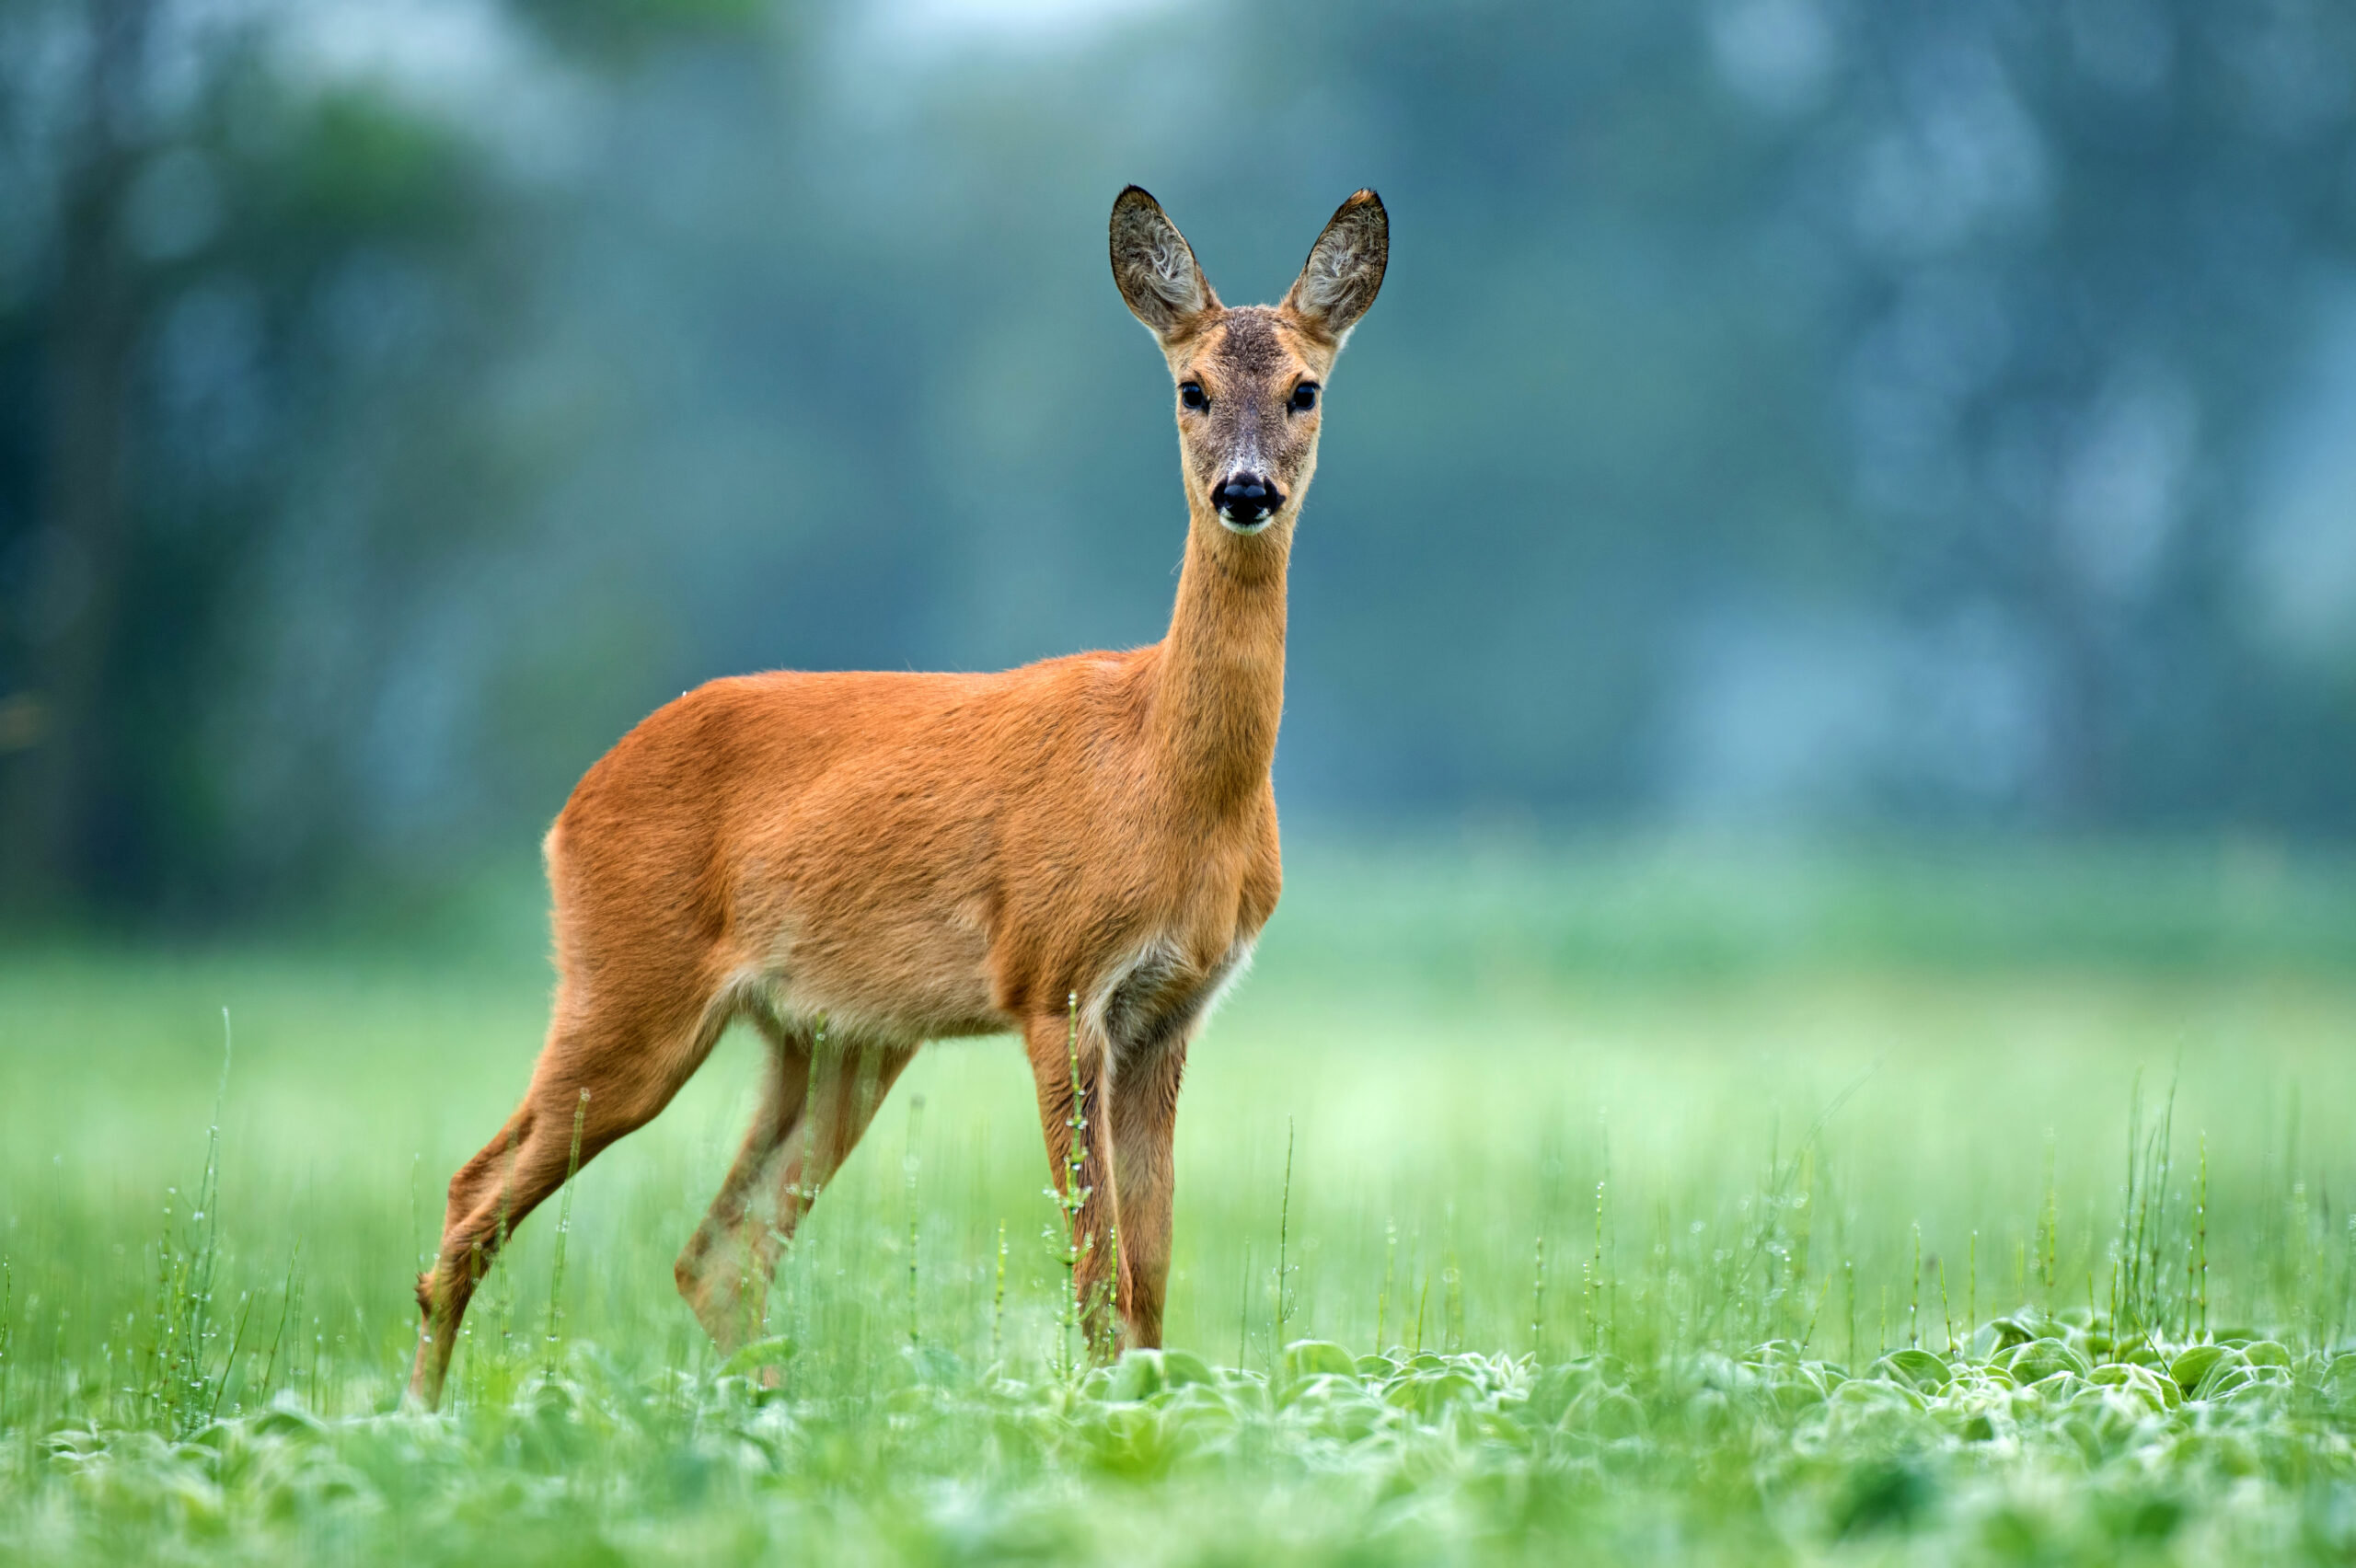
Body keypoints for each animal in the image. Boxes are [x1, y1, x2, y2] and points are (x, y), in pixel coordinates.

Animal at [406, 186, 1388, 1410]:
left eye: (1306, 388)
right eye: (1190, 388)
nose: (1245, 492)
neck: (1166, 778)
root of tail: (570, 807)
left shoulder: (1171, 1010)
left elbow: (1151, 1277)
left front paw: (1150, 1413)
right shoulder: (1054, 981)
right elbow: (1096, 1270)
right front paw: (1097, 1418)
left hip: (831, 1039)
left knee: (717, 1251)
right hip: (627, 987)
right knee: (473, 1198)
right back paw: (418, 1422)